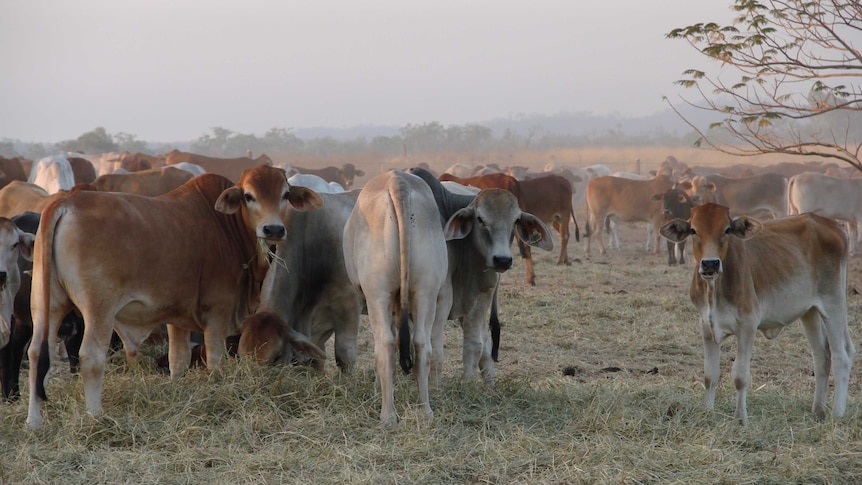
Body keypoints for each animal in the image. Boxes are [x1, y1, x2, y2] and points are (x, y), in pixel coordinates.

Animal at [25, 164, 328, 426]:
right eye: (249, 196)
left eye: (285, 194)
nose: (273, 229)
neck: (225, 226)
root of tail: (65, 204)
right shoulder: (217, 316)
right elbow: (215, 362)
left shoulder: (177, 318)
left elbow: (178, 361)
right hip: (99, 309)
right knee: (90, 357)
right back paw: (95, 417)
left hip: (46, 305)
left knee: (38, 353)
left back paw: (34, 422)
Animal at [660, 202, 856, 422]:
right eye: (693, 230)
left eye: (727, 229)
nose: (710, 263)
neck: (714, 289)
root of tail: (832, 224)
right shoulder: (706, 326)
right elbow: (710, 374)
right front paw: (708, 413)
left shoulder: (747, 325)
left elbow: (740, 375)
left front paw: (740, 418)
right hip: (810, 311)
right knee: (822, 355)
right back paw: (818, 411)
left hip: (833, 302)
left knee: (842, 355)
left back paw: (837, 414)